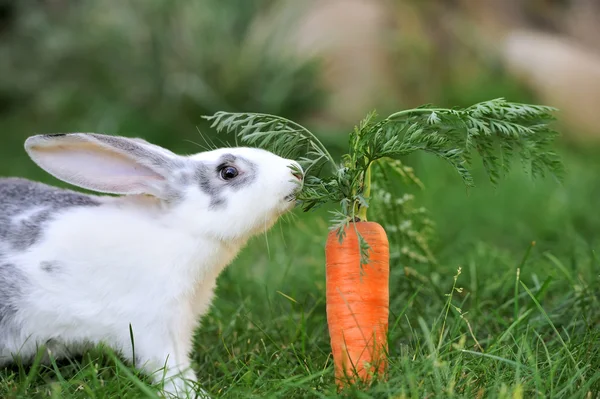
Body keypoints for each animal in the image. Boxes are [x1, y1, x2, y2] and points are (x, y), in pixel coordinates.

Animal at [0, 134, 302, 396]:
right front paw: (193, 394)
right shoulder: (155, 325)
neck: (180, 228)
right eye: (228, 172)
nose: (297, 171)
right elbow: (171, 368)